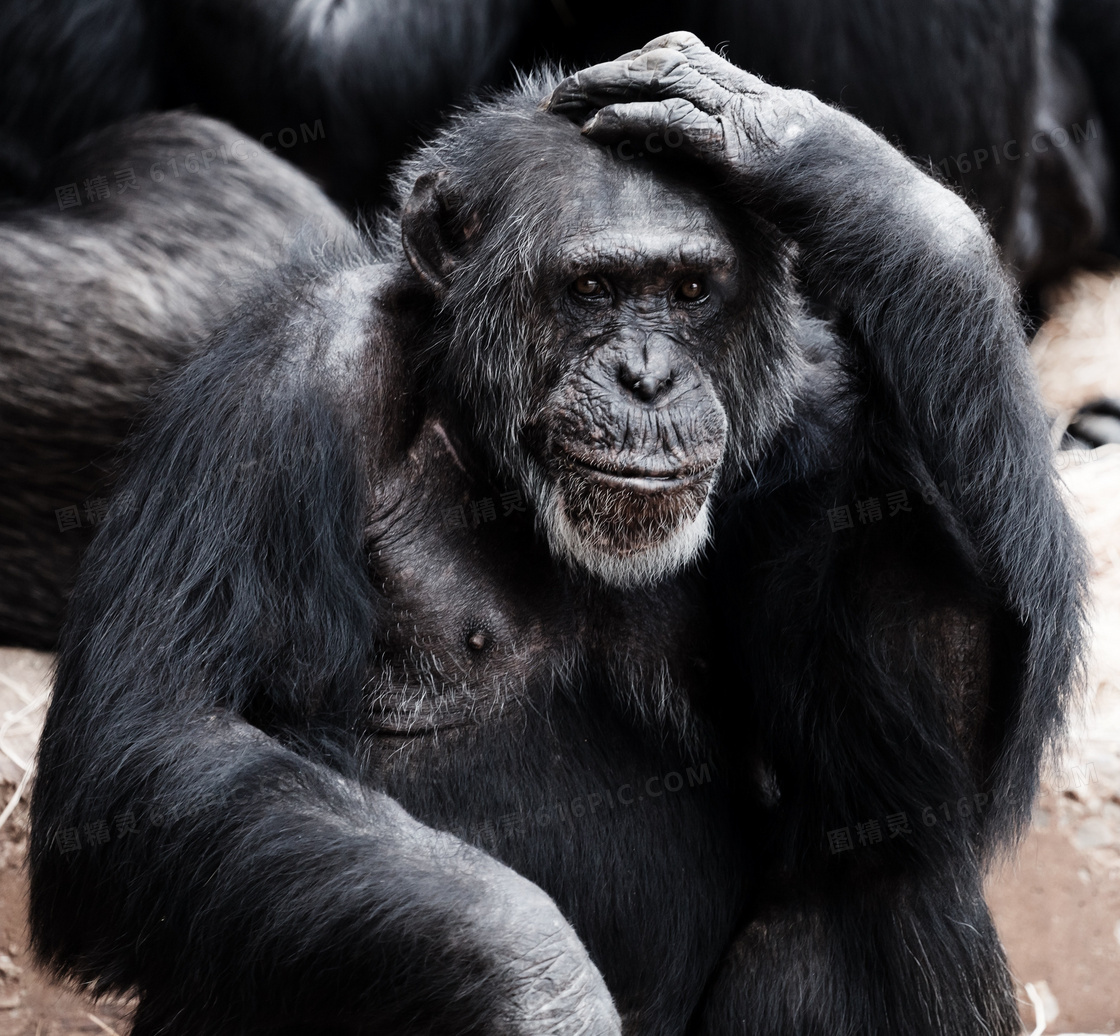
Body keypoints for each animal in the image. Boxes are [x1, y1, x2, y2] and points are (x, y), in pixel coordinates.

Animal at [28, 32, 1084, 1034]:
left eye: (691, 291)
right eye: (592, 290)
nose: (648, 377)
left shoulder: (818, 420)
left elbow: (916, 769)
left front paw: (799, 146)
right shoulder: (273, 389)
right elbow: (159, 748)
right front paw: (541, 990)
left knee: (893, 881)